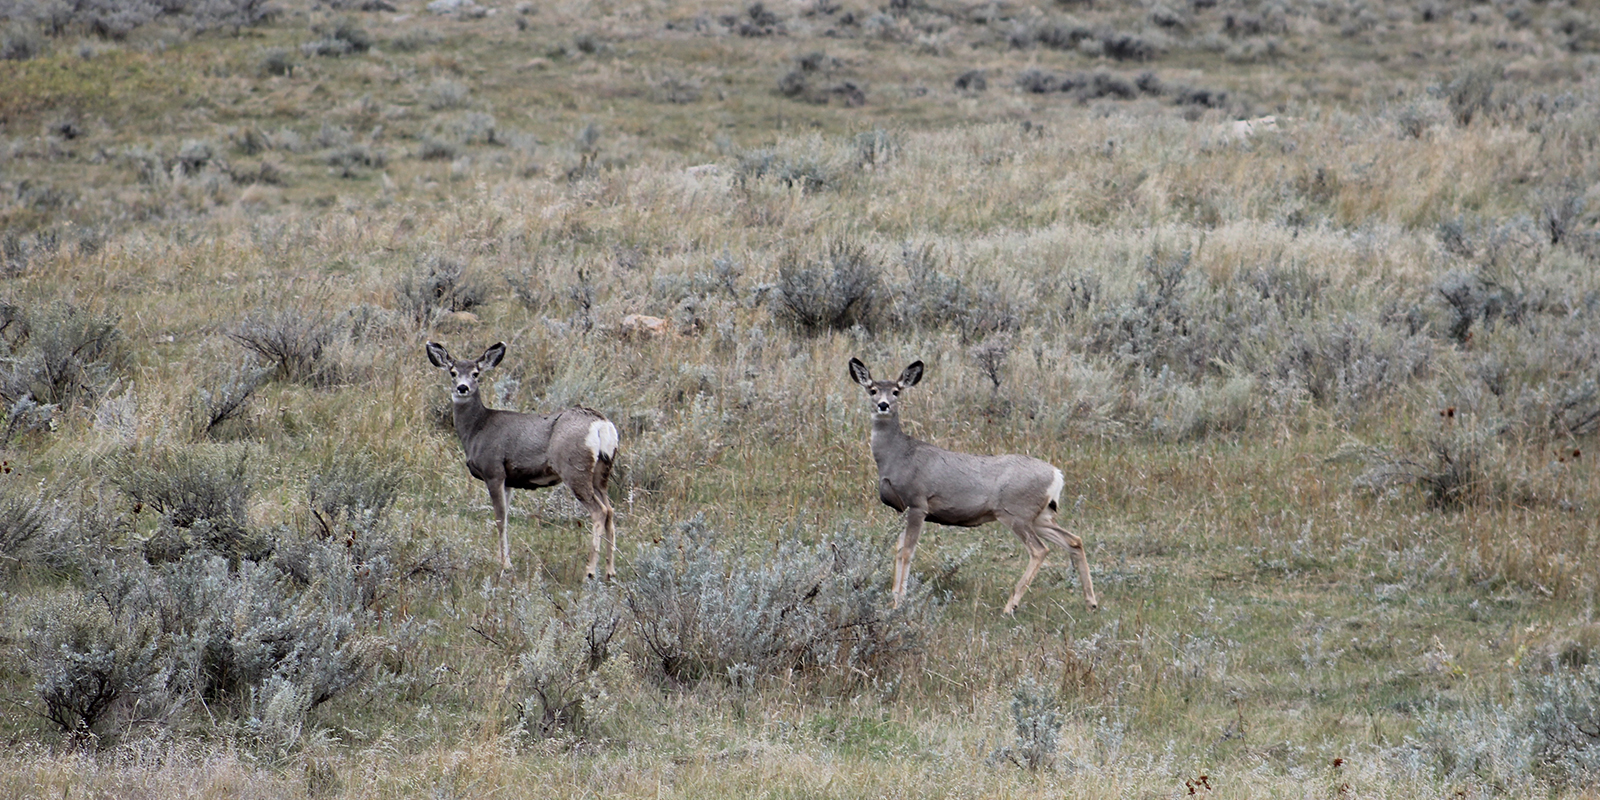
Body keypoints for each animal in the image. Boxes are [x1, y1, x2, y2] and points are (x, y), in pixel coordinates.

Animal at [425, 340, 617, 579]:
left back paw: (589, 572)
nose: (462, 388)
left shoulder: (494, 471)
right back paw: (610, 572)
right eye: (453, 372)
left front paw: (505, 565)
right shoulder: (509, 480)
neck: (477, 429)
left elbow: (499, 519)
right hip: (602, 472)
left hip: (575, 468)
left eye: (476, 373)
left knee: (599, 511)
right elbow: (506, 518)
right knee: (610, 510)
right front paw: (502, 559)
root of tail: (602, 424)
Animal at [851, 356, 1100, 611]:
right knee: (1073, 540)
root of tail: (1056, 474)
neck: (897, 456)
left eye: (896, 391)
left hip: (1016, 512)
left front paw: (898, 603)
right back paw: (1091, 602)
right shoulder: (901, 509)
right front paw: (893, 598)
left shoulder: (918, 503)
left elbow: (907, 552)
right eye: (872, 390)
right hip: (1039, 516)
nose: (883, 405)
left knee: (1040, 550)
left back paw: (1010, 606)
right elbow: (898, 549)